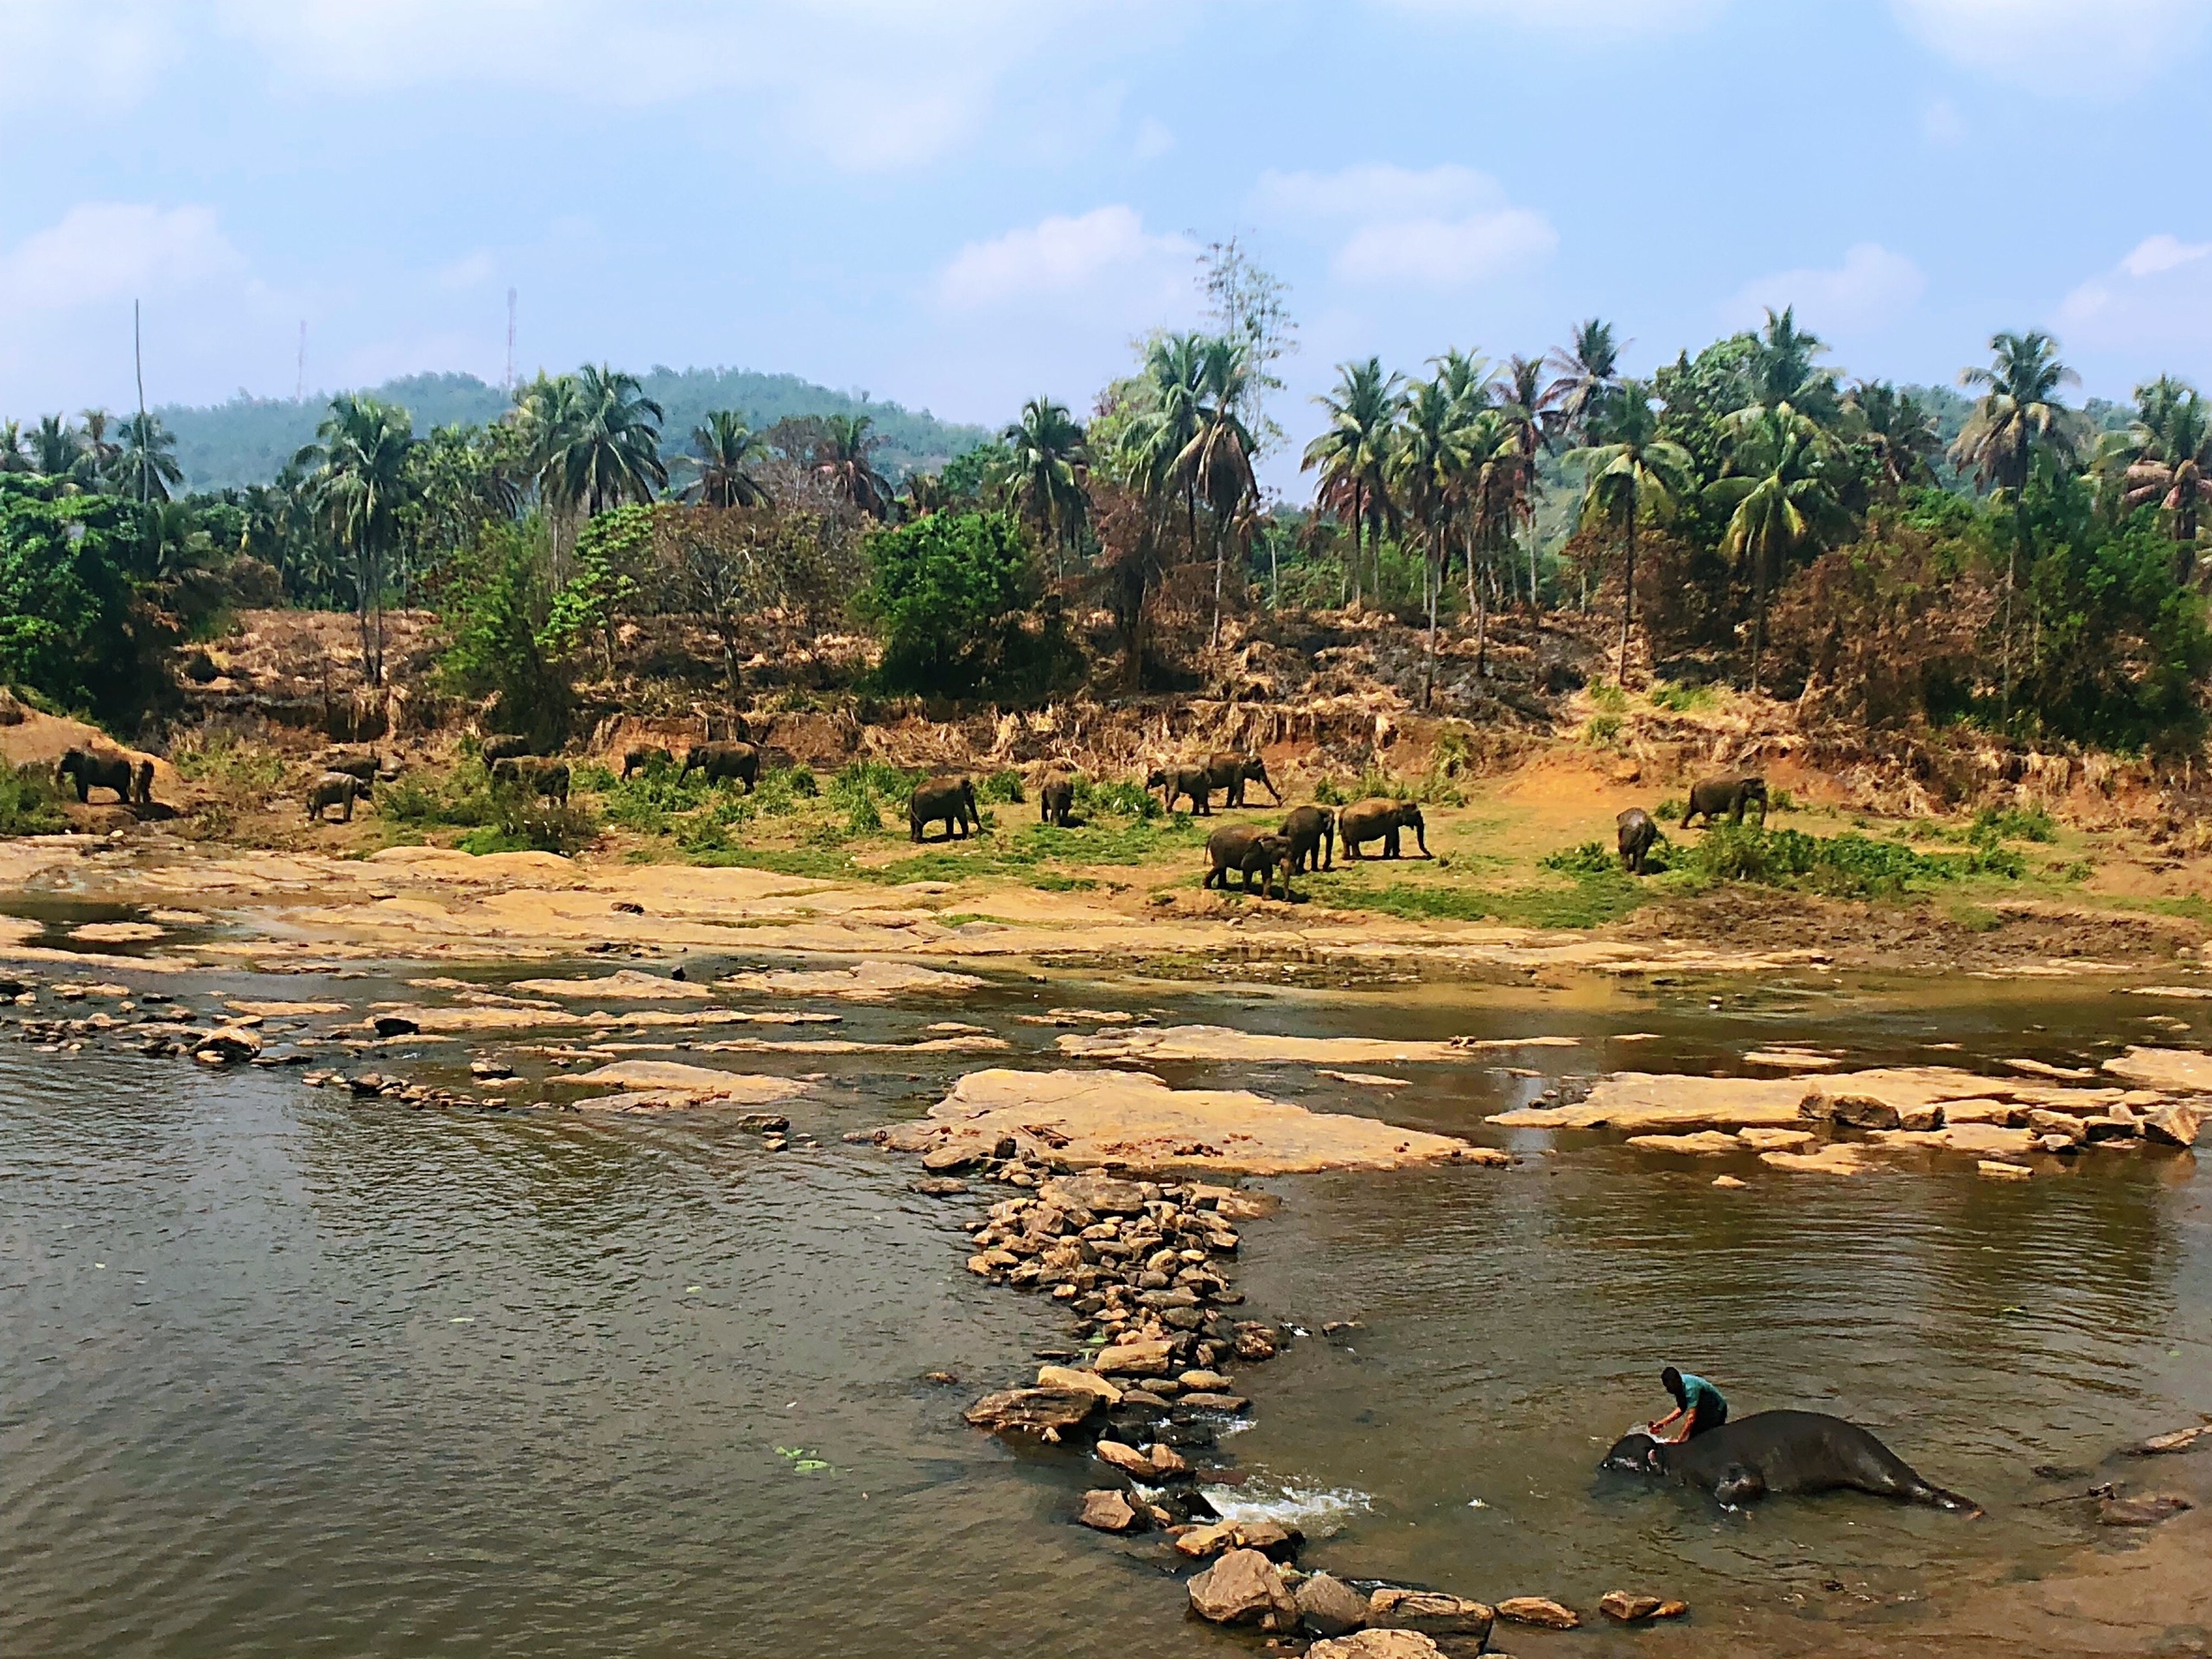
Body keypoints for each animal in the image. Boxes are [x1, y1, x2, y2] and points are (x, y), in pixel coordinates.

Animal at [1601, 1415, 1981, 1522]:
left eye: (1618, 1462)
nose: (1602, 1464)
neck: (1677, 1460)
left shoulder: (1713, 1467)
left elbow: (1748, 1480)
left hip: (1869, 1463)